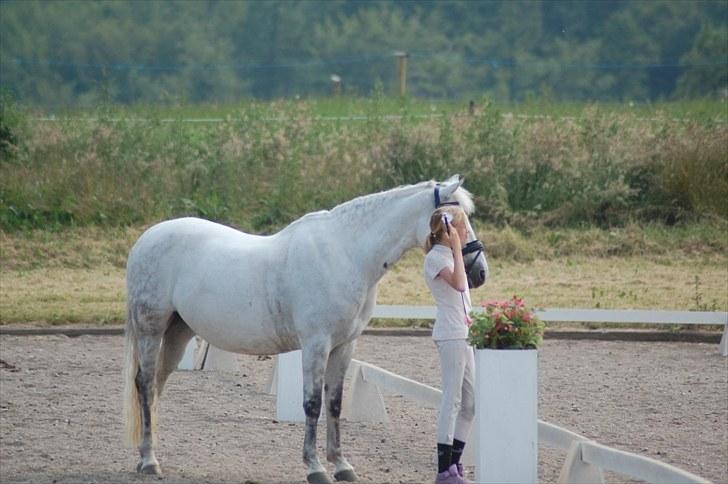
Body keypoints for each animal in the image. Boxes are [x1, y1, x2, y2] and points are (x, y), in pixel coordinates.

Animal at [122, 175, 488, 484]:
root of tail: (145, 239)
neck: (347, 254)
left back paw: (151, 454)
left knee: (156, 387)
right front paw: (315, 468)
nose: (479, 273)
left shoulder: (344, 346)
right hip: (151, 330)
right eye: (456, 221)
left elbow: (335, 404)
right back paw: (148, 460)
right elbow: (312, 403)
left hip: (178, 332)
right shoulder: (316, 344)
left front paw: (341, 465)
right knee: (145, 385)